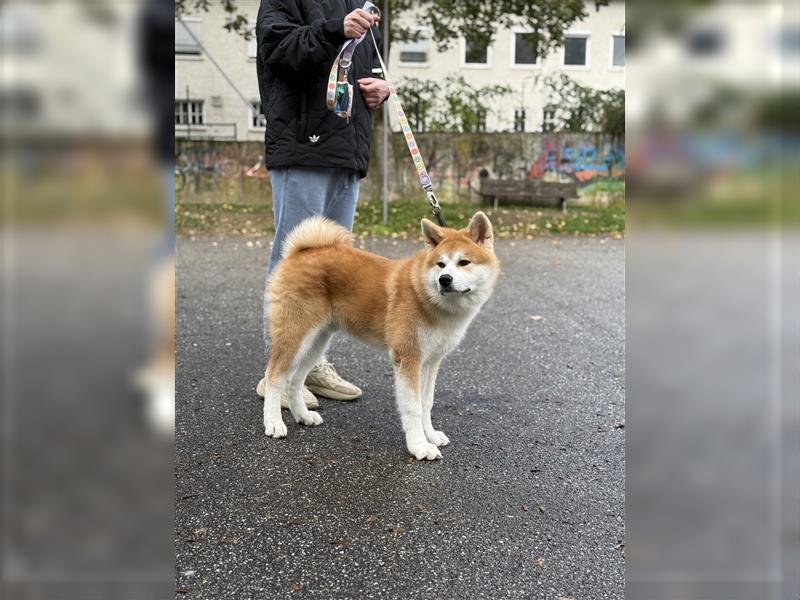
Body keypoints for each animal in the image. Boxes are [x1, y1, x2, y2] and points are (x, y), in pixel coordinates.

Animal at [262, 211, 500, 460]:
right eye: (441, 264)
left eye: (464, 262)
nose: (444, 279)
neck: (427, 296)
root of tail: (300, 251)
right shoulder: (408, 358)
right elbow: (413, 407)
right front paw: (419, 446)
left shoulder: (431, 361)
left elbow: (426, 402)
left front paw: (431, 435)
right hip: (295, 335)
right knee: (275, 376)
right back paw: (273, 423)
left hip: (317, 342)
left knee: (296, 379)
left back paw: (303, 415)